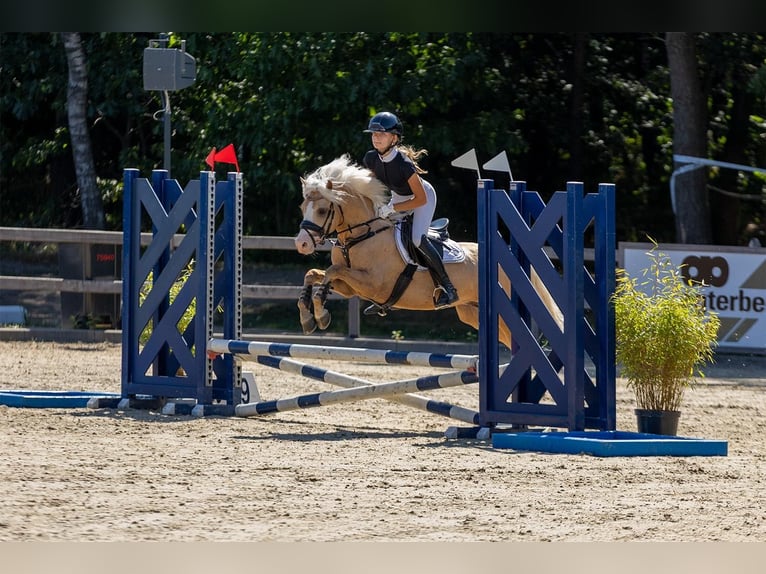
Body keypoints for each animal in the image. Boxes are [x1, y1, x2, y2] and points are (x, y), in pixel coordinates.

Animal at [293, 154, 562, 350]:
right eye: (303, 206)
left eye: (322, 210)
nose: (301, 244)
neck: (361, 236)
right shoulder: (352, 288)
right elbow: (315, 273)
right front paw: (308, 316)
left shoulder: (374, 285)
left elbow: (332, 270)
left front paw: (320, 314)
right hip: (473, 311)